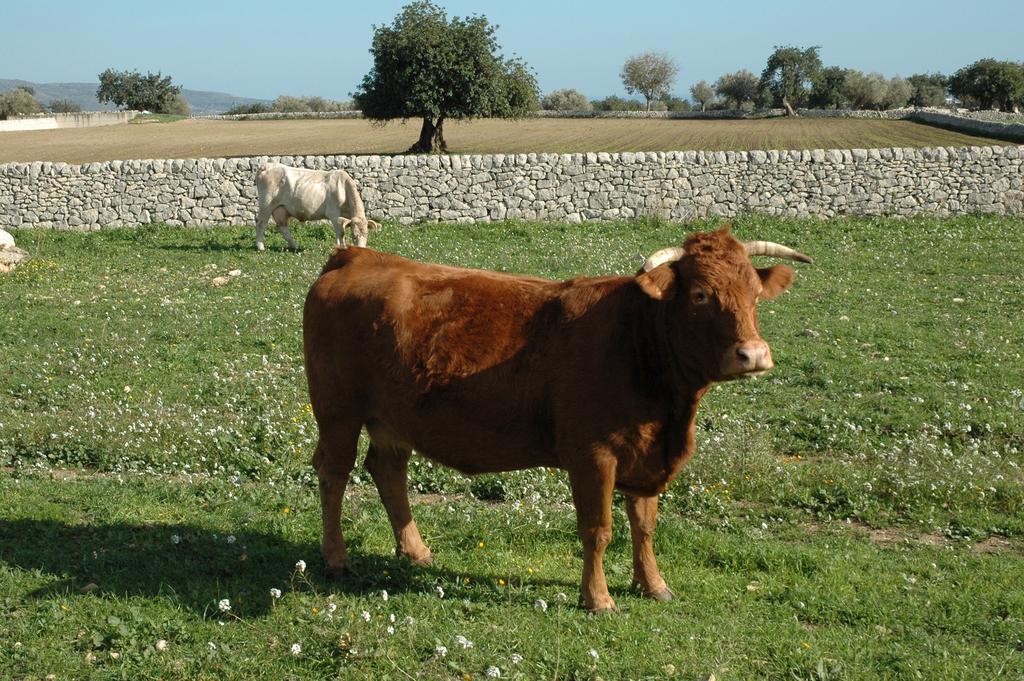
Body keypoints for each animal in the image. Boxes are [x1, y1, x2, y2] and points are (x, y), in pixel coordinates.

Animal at [299, 224, 811, 610]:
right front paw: (598, 598)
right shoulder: (592, 455)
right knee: (334, 473)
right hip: (338, 411)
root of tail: (356, 255)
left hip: (393, 418)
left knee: (388, 471)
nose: (754, 354)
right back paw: (336, 559)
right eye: (701, 294)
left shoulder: (646, 456)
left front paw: (653, 585)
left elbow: (644, 526)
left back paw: (416, 552)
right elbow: (598, 530)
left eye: (754, 293)